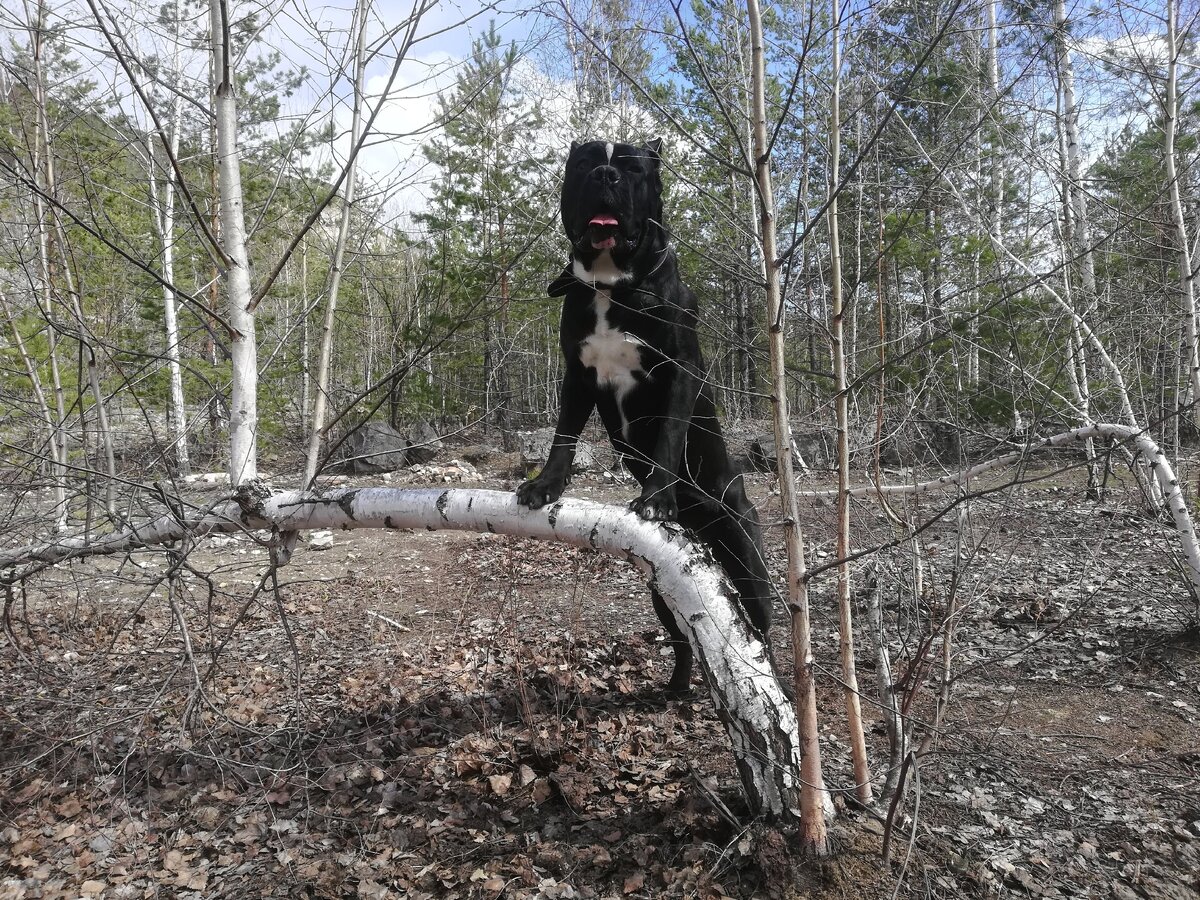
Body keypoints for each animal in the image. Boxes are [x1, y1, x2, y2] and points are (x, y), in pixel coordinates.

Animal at [518, 137, 777, 696]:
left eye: (634, 168)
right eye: (585, 162)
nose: (607, 175)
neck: (611, 283)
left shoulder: (680, 371)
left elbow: (669, 438)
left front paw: (656, 497)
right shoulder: (577, 375)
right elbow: (563, 435)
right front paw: (546, 485)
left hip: (748, 564)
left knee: (760, 634)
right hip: (665, 588)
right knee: (684, 640)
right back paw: (676, 690)